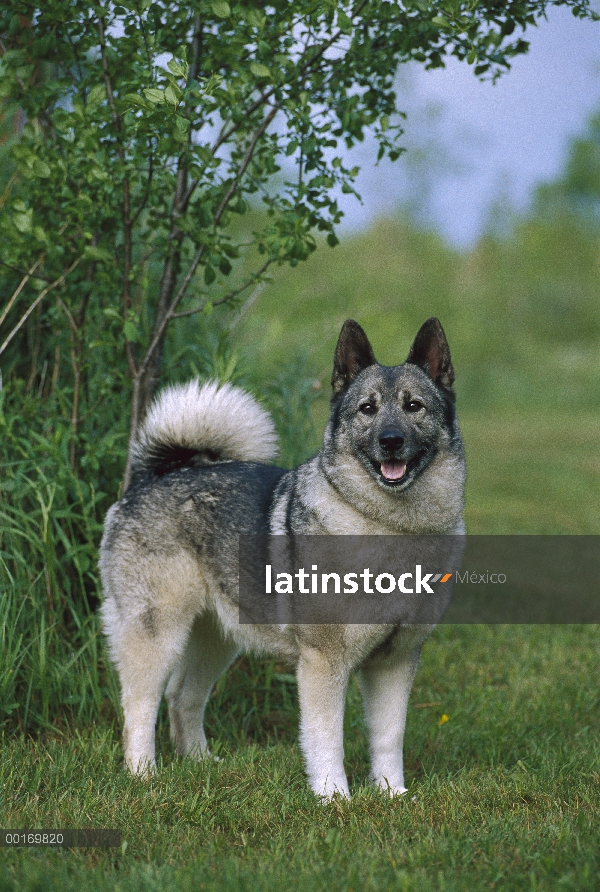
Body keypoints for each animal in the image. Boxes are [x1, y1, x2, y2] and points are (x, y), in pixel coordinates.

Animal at [101, 318, 464, 796]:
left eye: (414, 406)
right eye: (367, 409)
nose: (390, 440)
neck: (391, 526)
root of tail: (151, 477)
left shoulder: (396, 660)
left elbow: (389, 735)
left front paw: (392, 793)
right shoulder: (324, 661)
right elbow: (326, 737)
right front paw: (334, 797)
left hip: (216, 637)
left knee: (182, 699)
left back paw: (202, 764)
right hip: (157, 632)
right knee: (139, 707)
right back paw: (144, 774)